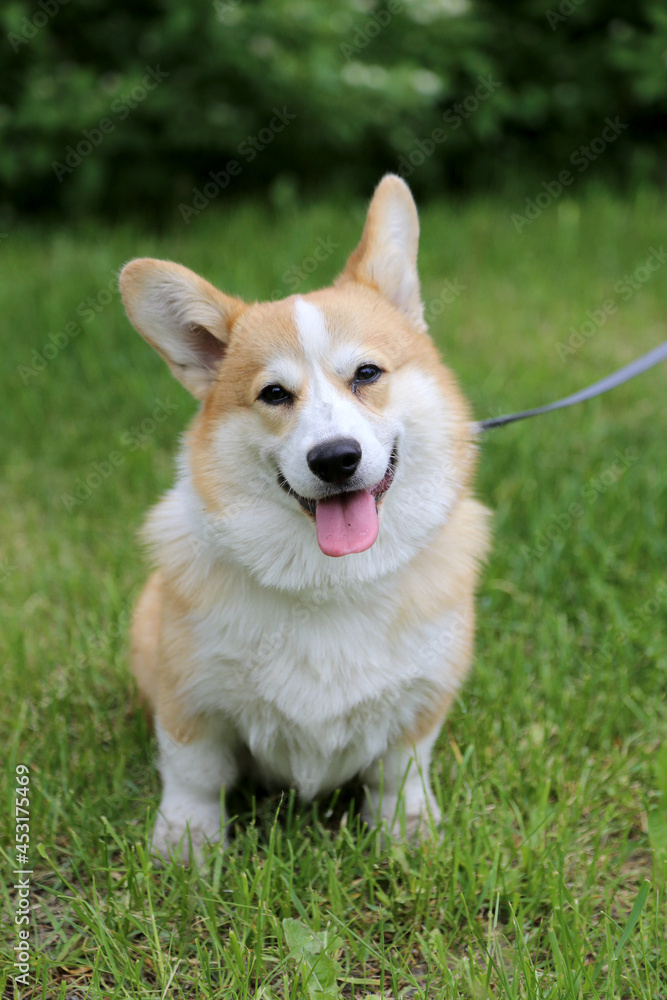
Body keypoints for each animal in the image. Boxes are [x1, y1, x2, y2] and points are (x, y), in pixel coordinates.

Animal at [120, 172, 490, 860]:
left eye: (367, 373)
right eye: (274, 394)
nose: (336, 459)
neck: (329, 582)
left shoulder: (422, 700)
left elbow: (401, 771)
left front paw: (407, 836)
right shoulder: (192, 701)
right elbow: (193, 775)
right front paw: (186, 848)